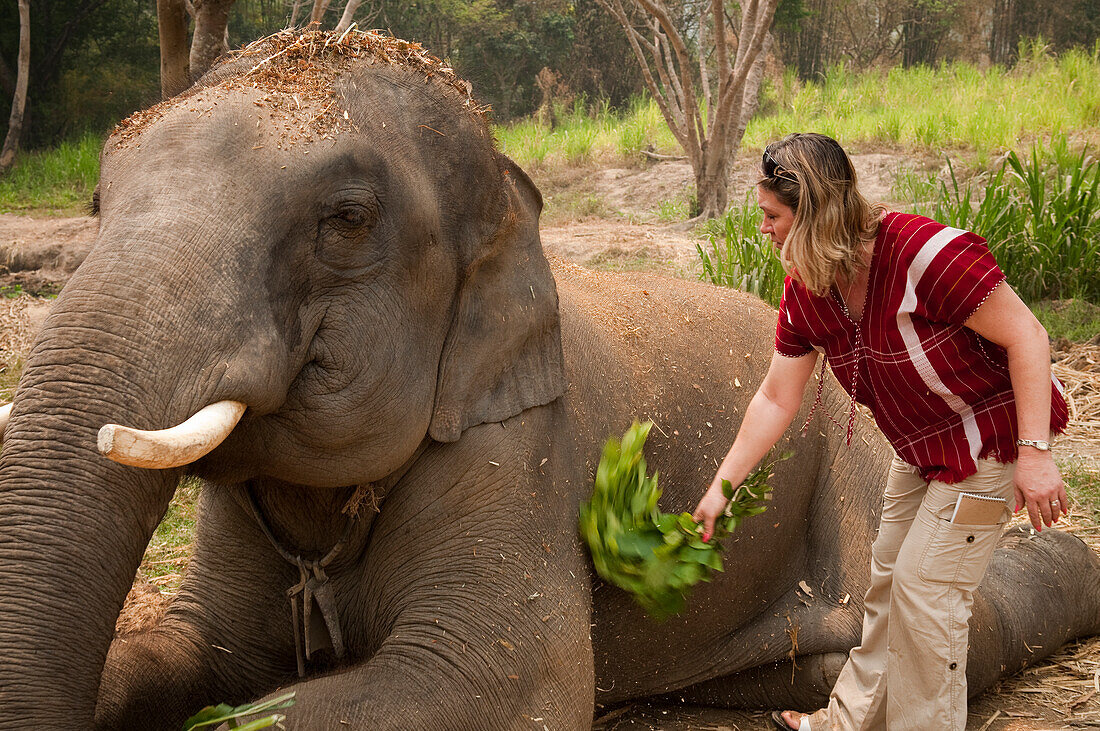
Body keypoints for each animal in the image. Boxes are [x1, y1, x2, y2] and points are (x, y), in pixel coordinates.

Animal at [2, 29, 1100, 729]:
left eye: (346, 219)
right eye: (97, 199)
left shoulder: (515, 445)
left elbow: (492, 680)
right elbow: (198, 659)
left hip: (855, 437)